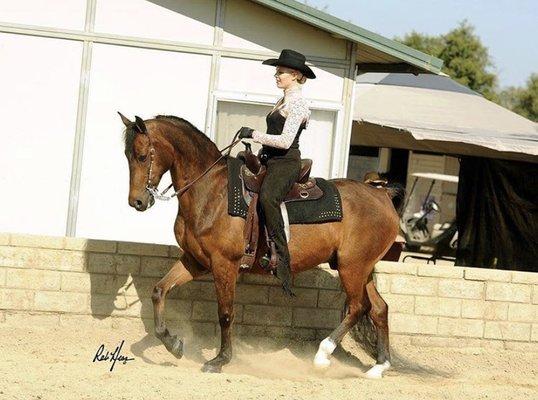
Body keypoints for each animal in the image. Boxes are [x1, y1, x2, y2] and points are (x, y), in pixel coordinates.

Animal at [118, 111, 402, 378]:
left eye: (141, 156)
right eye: (126, 156)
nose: (137, 202)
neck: (211, 193)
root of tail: (381, 194)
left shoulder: (224, 264)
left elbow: (225, 313)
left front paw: (219, 360)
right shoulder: (195, 261)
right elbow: (159, 290)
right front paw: (173, 344)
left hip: (351, 267)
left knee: (357, 307)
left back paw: (322, 356)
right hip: (362, 269)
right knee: (379, 308)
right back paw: (379, 367)